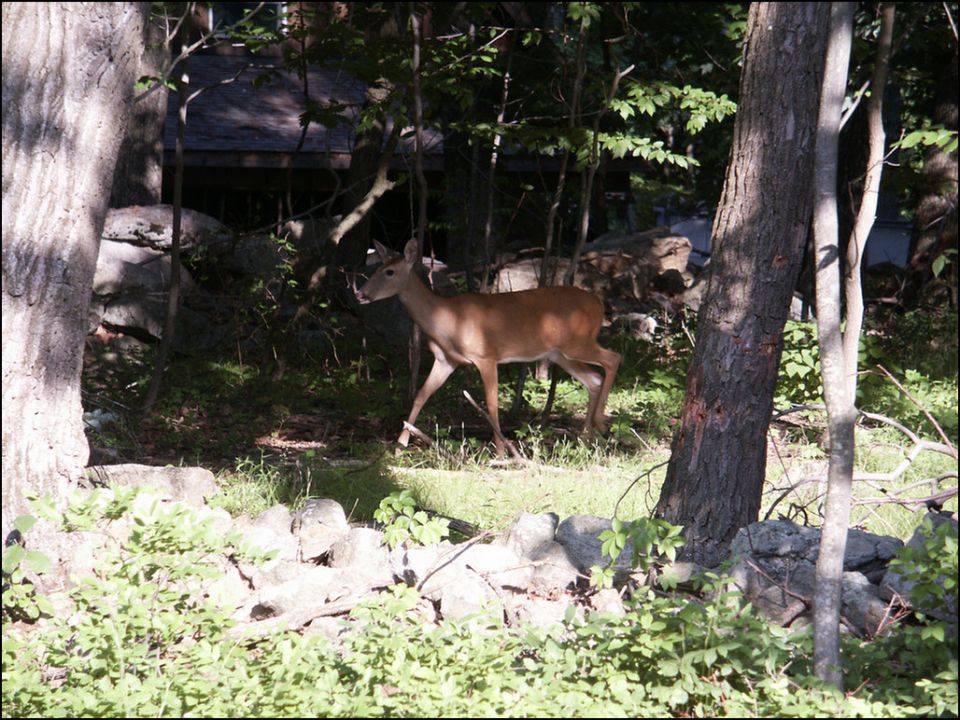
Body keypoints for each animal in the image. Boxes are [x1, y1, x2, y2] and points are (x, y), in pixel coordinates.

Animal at [356, 239, 621, 456]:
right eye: (375, 269)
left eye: (389, 272)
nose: (360, 294)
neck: (448, 320)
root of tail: (599, 304)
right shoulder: (446, 360)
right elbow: (421, 395)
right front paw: (400, 445)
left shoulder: (486, 356)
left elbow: (491, 403)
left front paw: (501, 451)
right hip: (561, 354)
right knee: (594, 379)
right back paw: (586, 439)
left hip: (579, 341)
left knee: (613, 358)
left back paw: (599, 423)